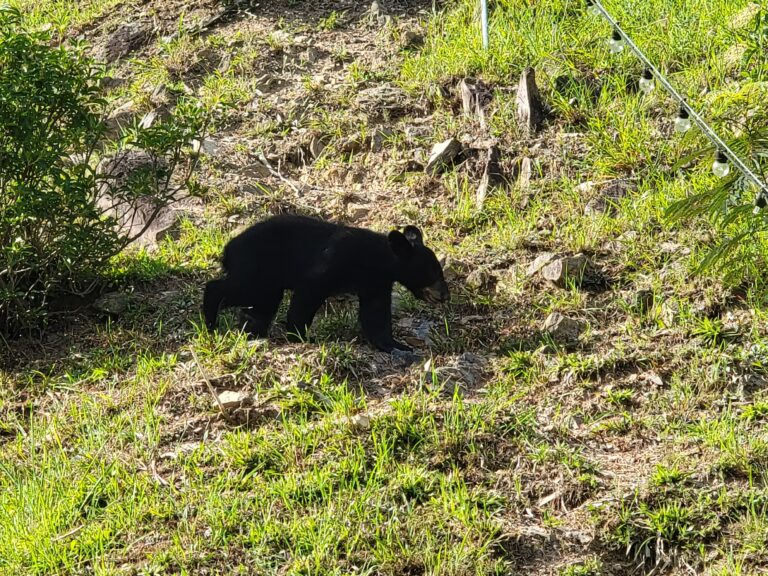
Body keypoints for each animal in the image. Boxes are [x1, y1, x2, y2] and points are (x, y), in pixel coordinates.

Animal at [202, 214, 450, 353]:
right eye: (433, 273)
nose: (445, 295)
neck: (376, 260)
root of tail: (228, 250)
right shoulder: (334, 262)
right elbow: (308, 294)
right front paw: (301, 336)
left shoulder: (376, 282)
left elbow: (375, 313)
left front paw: (396, 345)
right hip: (257, 269)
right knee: (232, 289)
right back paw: (211, 322)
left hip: (267, 282)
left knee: (261, 305)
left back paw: (253, 331)